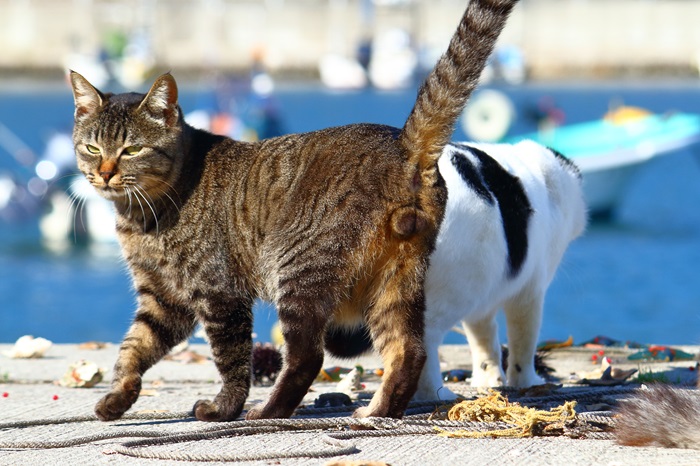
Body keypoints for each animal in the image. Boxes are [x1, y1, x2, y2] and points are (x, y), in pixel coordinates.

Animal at [71, 0, 520, 422]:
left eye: (132, 149)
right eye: (92, 147)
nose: (105, 173)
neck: (142, 215)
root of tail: (402, 144)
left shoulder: (218, 293)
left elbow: (231, 361)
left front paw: (223, 409)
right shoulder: (163, 298)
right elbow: (133, 347)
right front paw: (117, 397)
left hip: (299, 270)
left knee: (308, 356)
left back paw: (269, 410)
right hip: (396, 280)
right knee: (408, 350)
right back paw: (377, 411)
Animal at [416, 140, 584, 398]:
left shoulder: (481, 302)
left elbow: (483, 339)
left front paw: (489, 380)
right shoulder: (529, 292)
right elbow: (524, 339)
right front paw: (526, 382)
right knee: (423, 341)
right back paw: (436, 394)